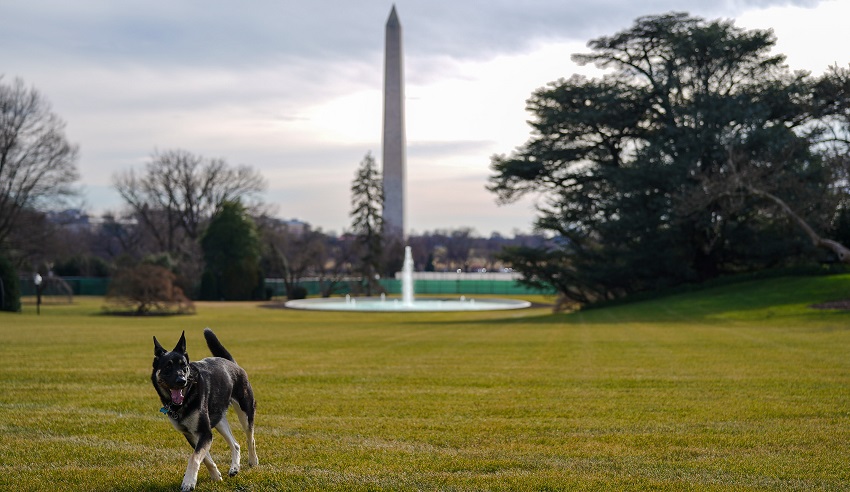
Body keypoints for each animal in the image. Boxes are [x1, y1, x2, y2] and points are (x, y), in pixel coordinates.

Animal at [152, 328, 256, 490]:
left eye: (184, 366)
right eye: (168, 366)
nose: (181, 381)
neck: (187, 395)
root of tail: (233, 364)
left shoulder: (205, 432)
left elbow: (194, 457)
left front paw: (188, 482)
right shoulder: (192, 434)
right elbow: (204, 458)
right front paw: (216, 476)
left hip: (245, 411)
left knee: (250, 437)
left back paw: (253, 461)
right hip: (219, 420)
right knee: (235, 444)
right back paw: (234, 468)